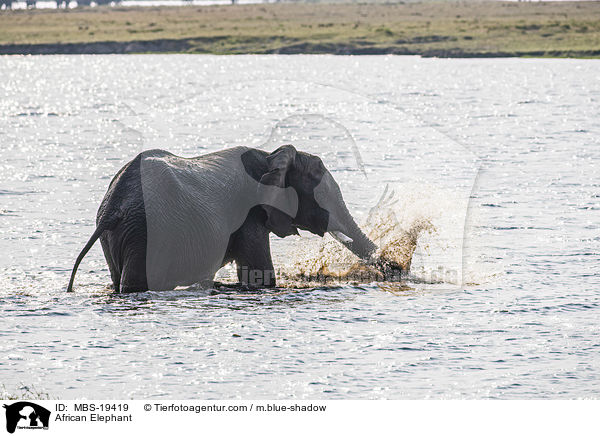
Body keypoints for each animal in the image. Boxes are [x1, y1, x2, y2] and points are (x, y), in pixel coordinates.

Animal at [67, 146, 384, 292]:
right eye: (320, 193)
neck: (270, 157)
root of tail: (113, 207)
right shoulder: (249, 215)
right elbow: (261, 276)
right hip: (145, 230)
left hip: (120, 235)